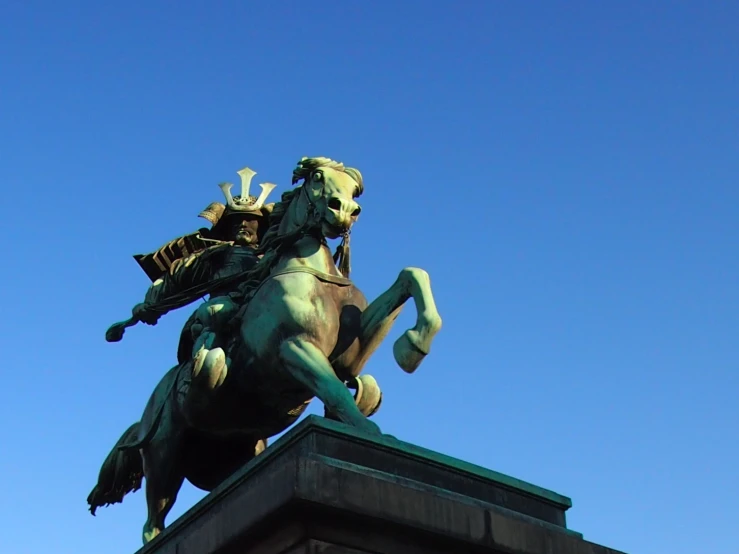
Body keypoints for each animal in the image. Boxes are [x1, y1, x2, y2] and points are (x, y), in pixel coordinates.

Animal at [89, 156, 442, 544]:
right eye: (317, 177)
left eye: (355, 190)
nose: (345, 211)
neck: (309, 272)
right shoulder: (294, 347)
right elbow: (334, 389)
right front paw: (369, 431)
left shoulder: (347, 356)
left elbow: (412, 275)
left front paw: (413, 345)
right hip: (164, 453)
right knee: (152, 524)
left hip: (240, 445)